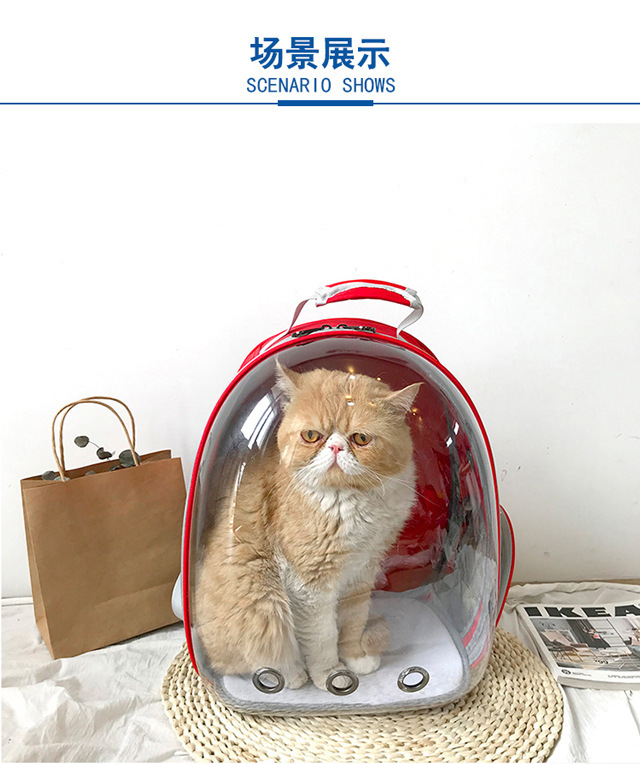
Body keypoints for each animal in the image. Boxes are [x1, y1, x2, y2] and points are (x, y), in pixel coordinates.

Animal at [194, 362, 420, 691]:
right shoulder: (311, 587)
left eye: (361, 439)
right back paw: (293, 675)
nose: (336, 447)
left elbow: (353, 623)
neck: (349, 501)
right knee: (258, 664)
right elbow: (323, 639)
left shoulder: (362, 574)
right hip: (266, 603)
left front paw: (355, 658)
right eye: (312, 435)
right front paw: (333, 677)